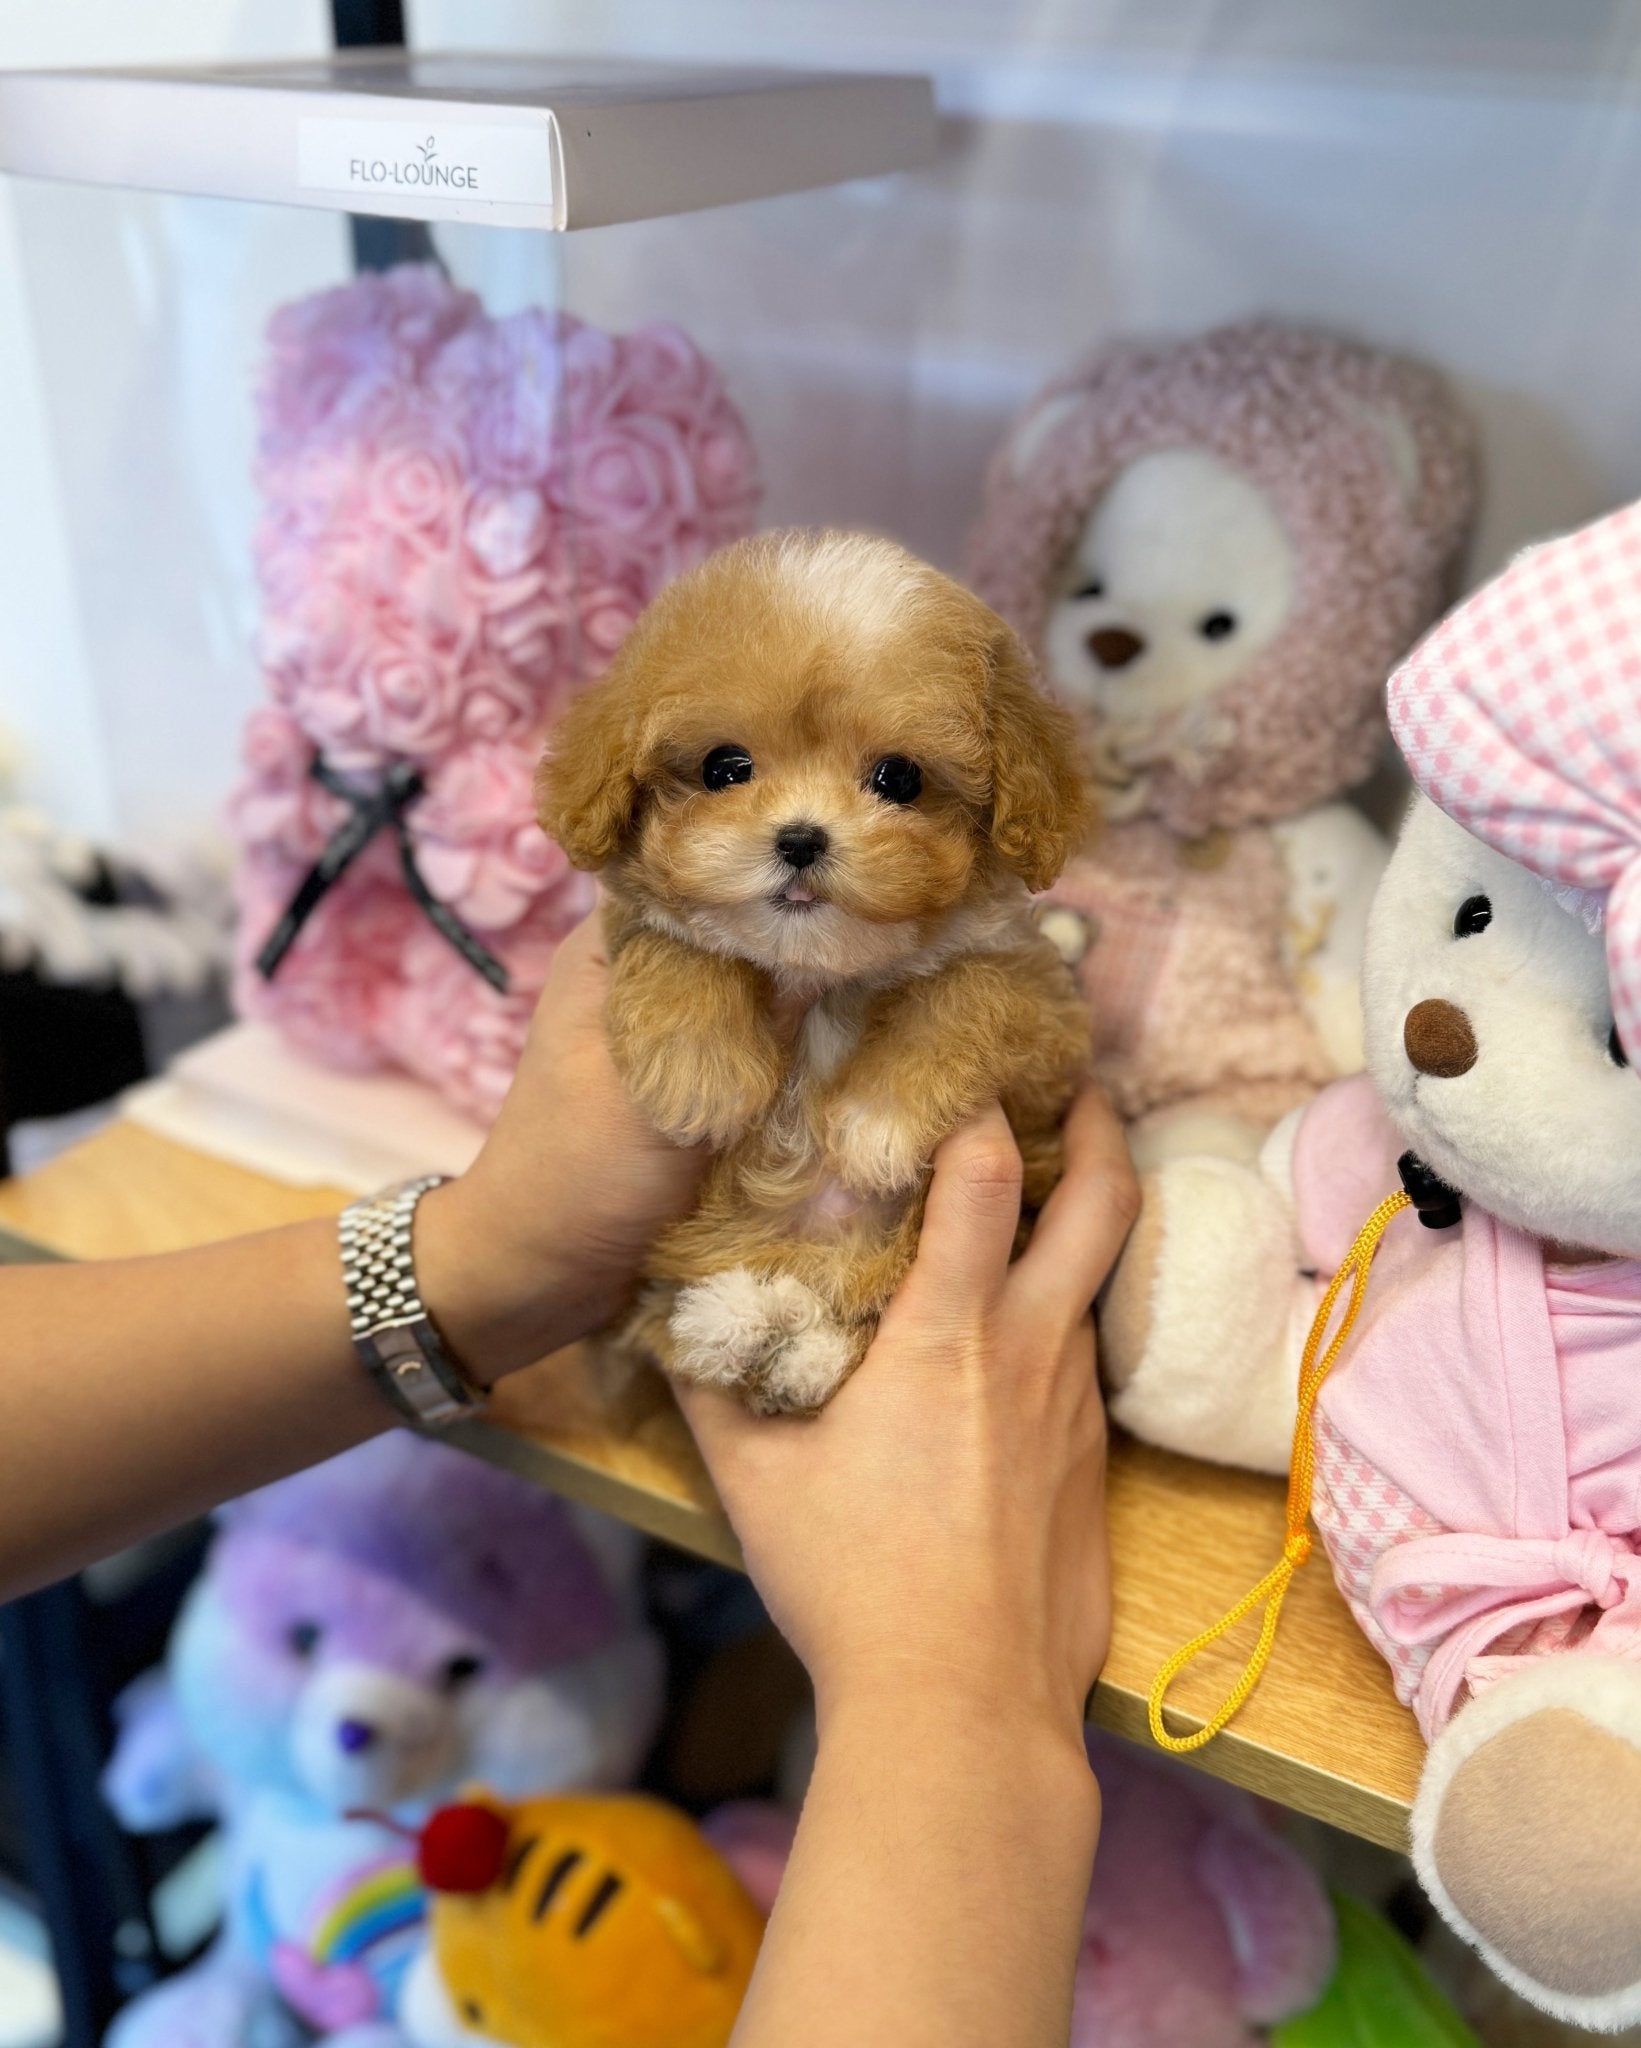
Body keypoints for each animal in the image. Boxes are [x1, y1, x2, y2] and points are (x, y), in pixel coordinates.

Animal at [536, 528, 1098, 1417]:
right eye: (724, 768)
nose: (800, 838)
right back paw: (733, 1322)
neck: (815, 971)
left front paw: (875, 1121)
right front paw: (702, 1076)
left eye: (899, 777)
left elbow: (970, 992)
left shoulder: (1044, 1015)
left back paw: (787, 1342)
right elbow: (680, 950)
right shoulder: (637, 928)